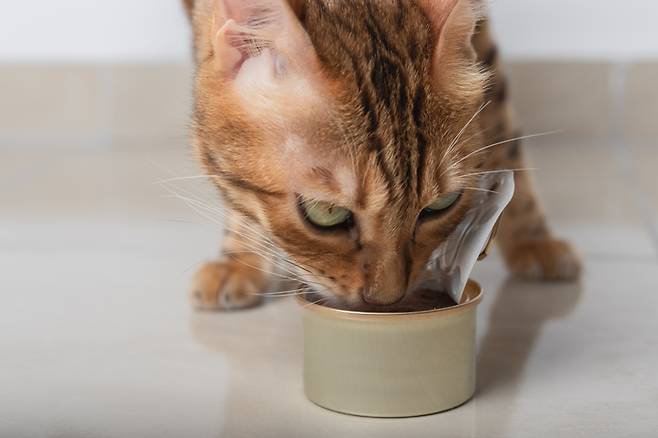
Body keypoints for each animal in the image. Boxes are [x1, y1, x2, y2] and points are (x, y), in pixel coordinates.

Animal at [179, 0, 580, 312]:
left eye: (442, 205)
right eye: (325, 213)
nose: (386, 300)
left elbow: (502, 126)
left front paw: (532, 235)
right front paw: (241, 258)